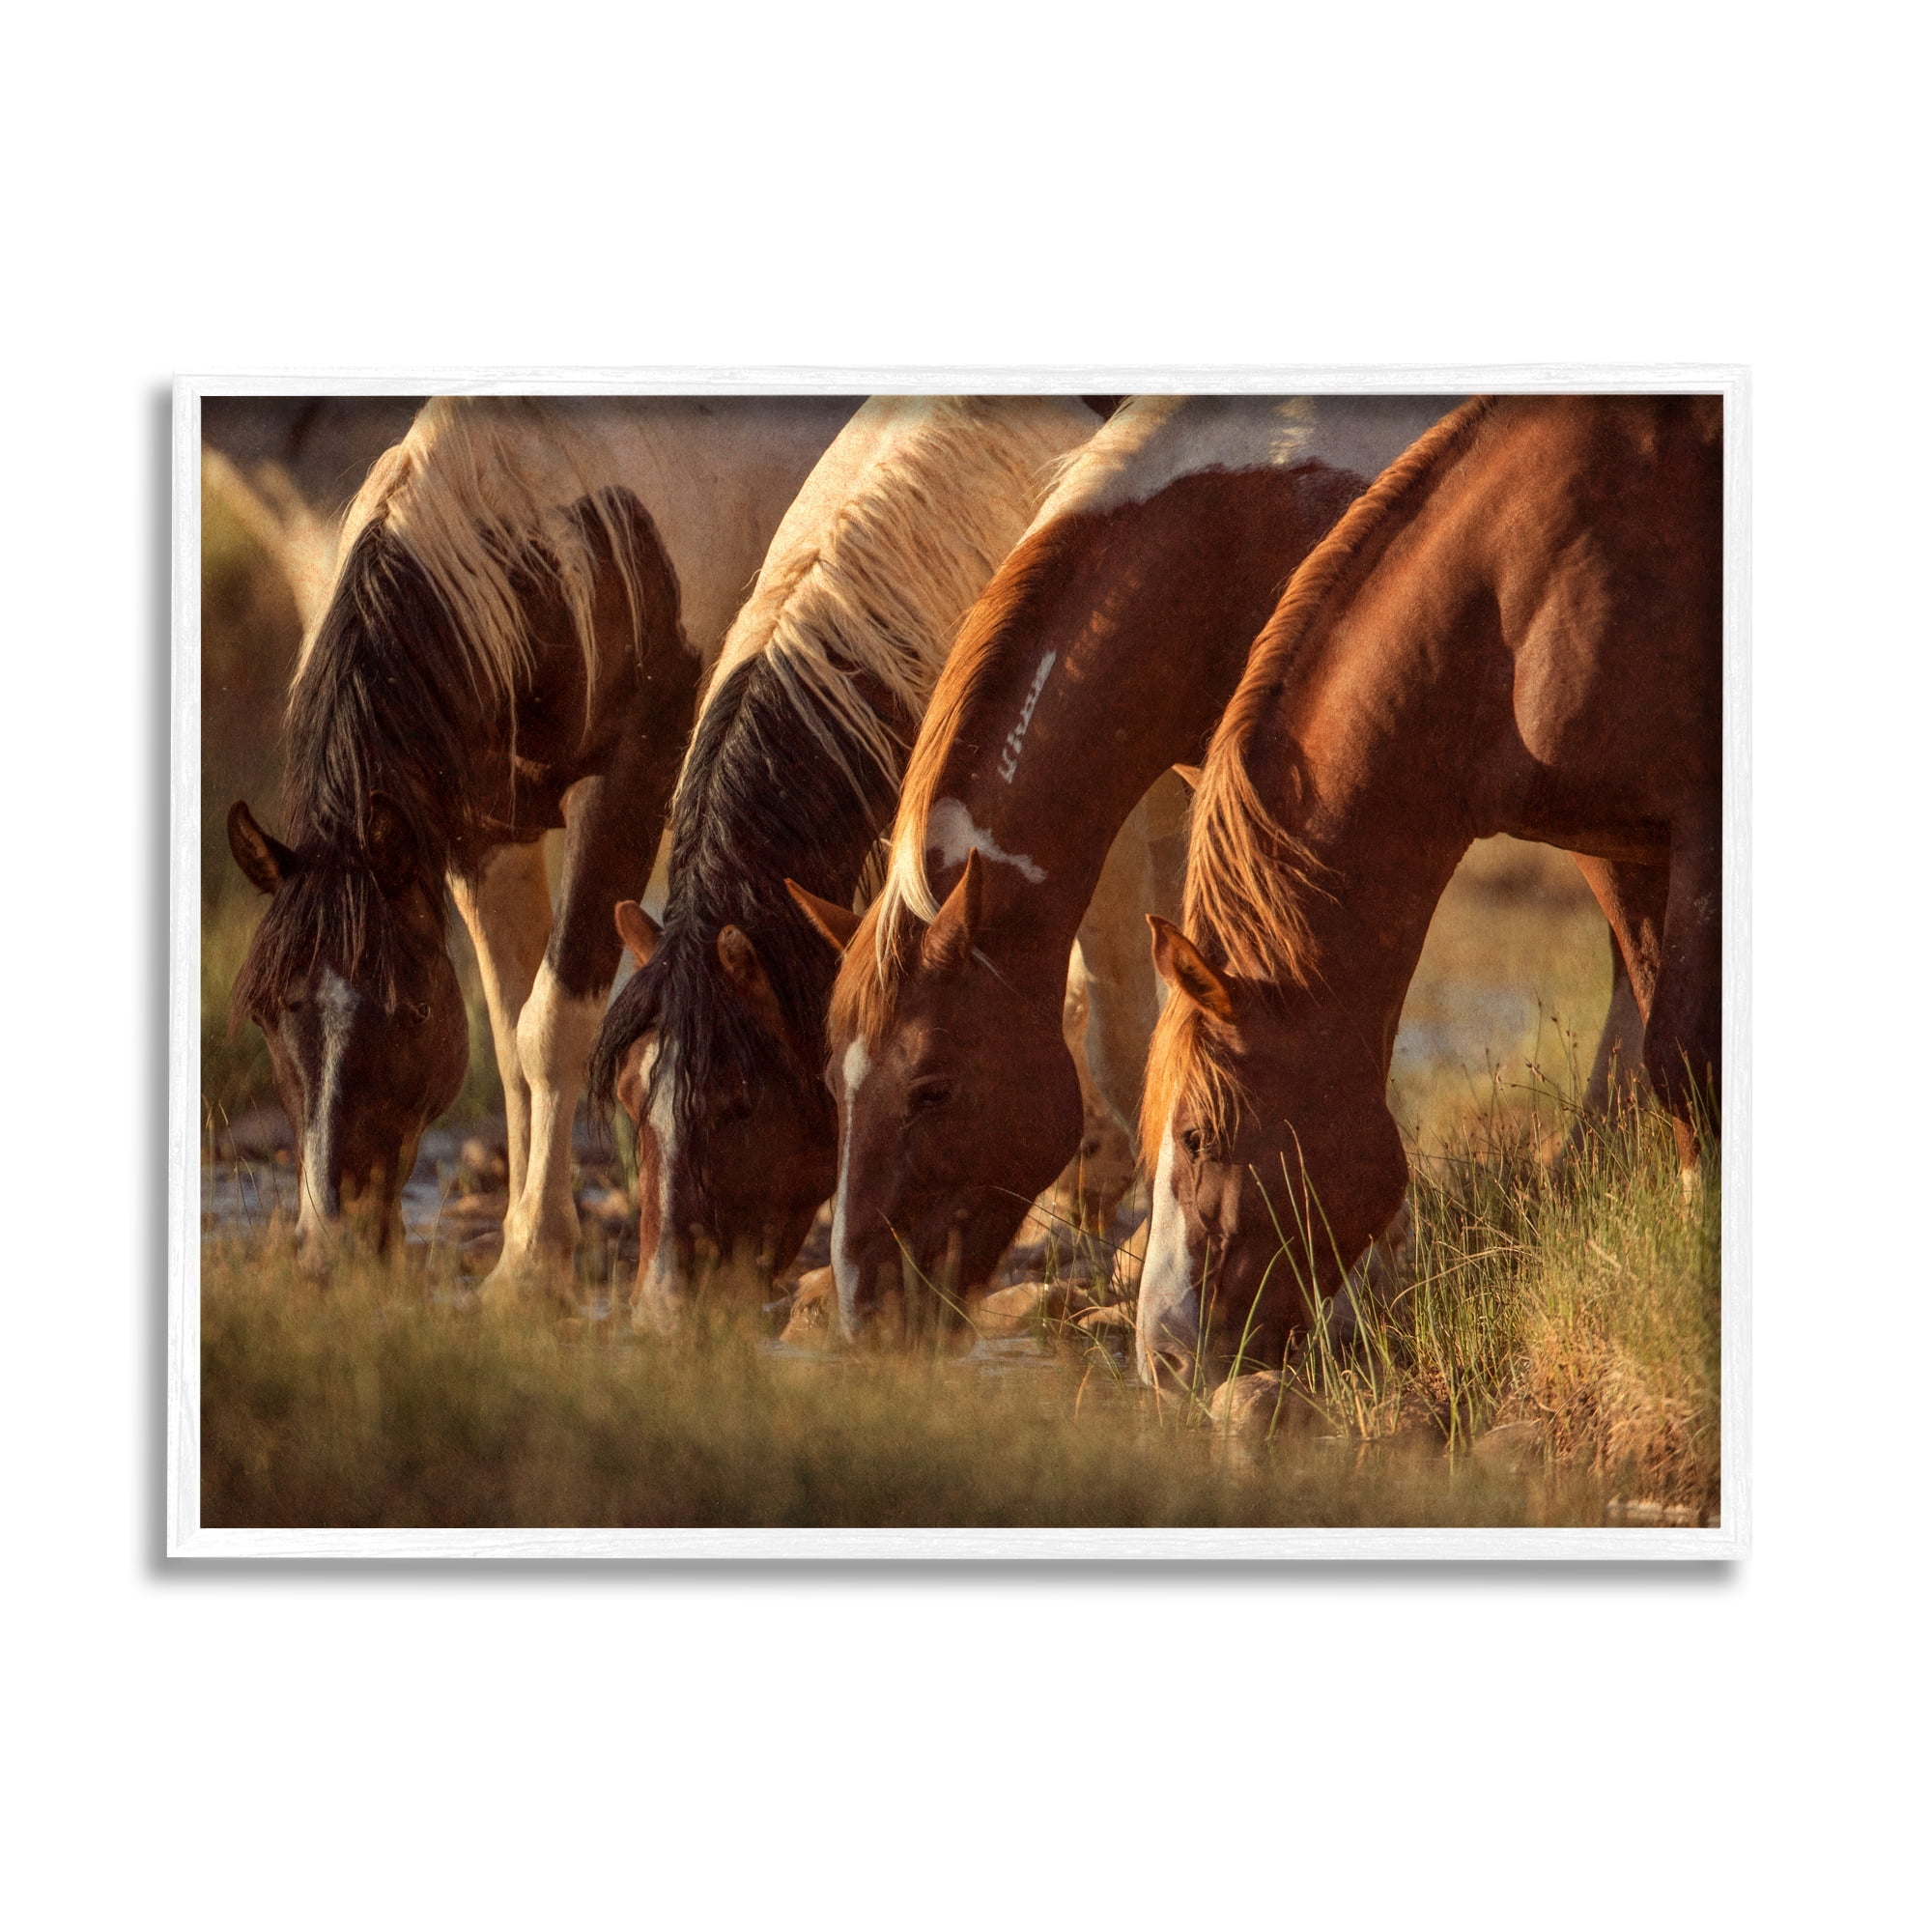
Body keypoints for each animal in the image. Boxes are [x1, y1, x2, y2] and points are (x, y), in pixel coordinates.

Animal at [225, 393, 858, 1291]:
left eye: (407, 1009)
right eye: (270, 1014)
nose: (330, 1250)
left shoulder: (629, 784)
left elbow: (552, 1026)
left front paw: (529, 1265)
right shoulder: (484, 834)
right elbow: (509, 1031)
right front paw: (534, 1242)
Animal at [1136, 394, 1722, 1390]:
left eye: (1201, 1138)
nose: (1162, 1358)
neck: (1520, 598)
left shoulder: (1704, 815)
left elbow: (1686, 1052)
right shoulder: (1624, 846)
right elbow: (1665, 1042)